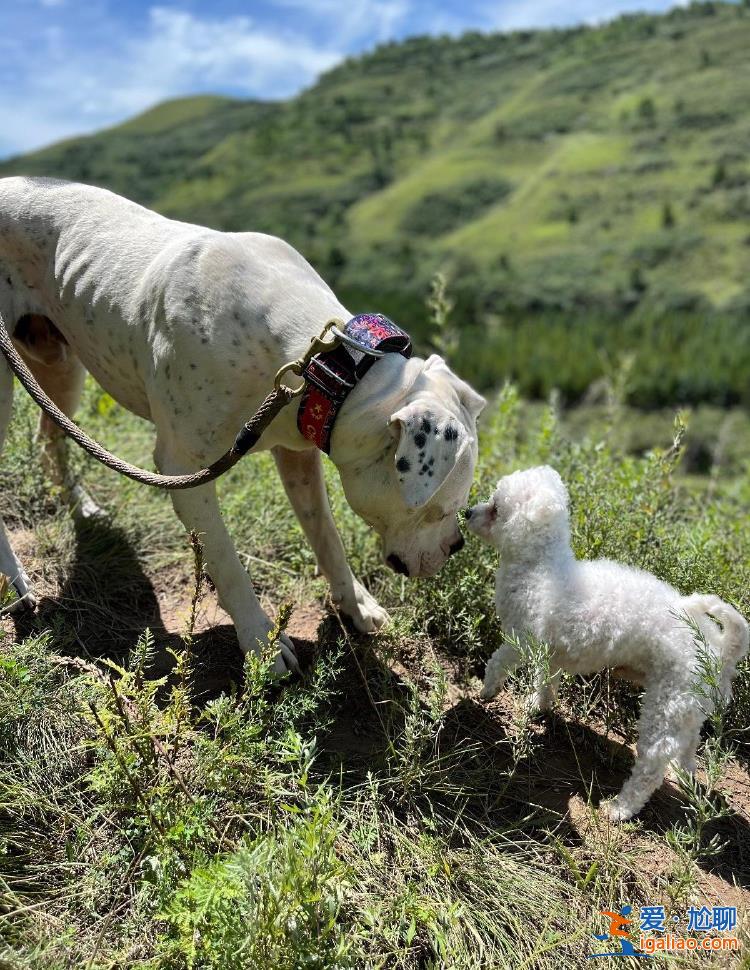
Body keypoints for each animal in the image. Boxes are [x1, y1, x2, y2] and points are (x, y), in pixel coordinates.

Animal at [1, 176, 488, 672]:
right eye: (439, 510)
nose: (457, 546)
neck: (322, 363)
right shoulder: (184, 471)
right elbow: (226, 561)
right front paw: (260, 643)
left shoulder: (298, 452)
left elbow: (326, 535)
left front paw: (356, 603)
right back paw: (16, 580)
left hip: (60, 366)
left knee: (50, 434)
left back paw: (80, 504)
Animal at [468, 466, 748, 820]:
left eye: (495, 507)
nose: (467, 512)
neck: (539, 567)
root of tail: (721, 652)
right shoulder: (550, 653)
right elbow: (546, 682)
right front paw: (537, 706)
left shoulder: (521, 639)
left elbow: (498, 662)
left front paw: (487, 690)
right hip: (688, 710)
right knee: (687, 746)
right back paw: (682, 776)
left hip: (667, 705)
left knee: (652, 764)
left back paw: (620, 808)